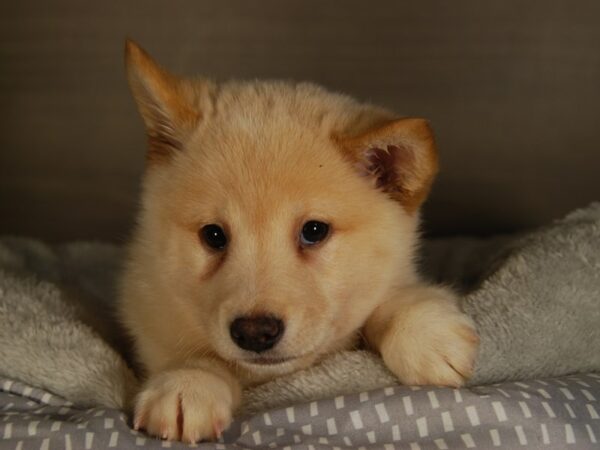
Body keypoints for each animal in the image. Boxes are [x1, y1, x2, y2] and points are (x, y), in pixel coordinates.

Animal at [119, 39, 480, 442]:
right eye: (213, 235)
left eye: (314, 231)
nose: (255, 333)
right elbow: (196, 353)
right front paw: (188, 382)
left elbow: (386, 299)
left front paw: (423, 332)